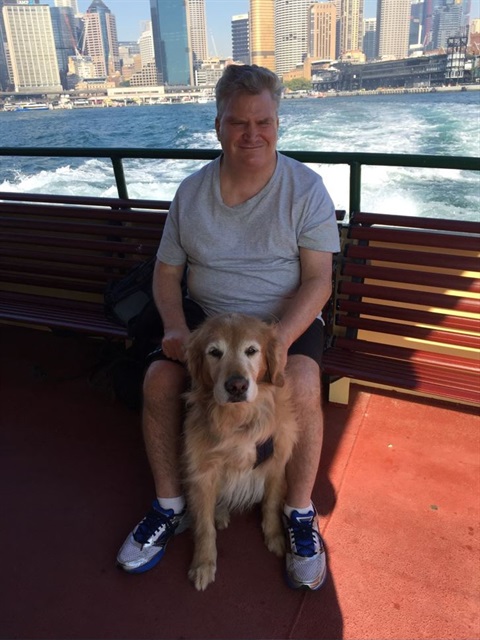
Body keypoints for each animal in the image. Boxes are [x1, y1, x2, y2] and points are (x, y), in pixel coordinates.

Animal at [183, 312, 298, 592]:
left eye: (251, 351)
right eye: (214, 352)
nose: (236, 386)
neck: (239, 420)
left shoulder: (276, 463)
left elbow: (270, 504)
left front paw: (275, 536)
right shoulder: (202, 475)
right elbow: (204, 526)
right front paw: (203, 564)